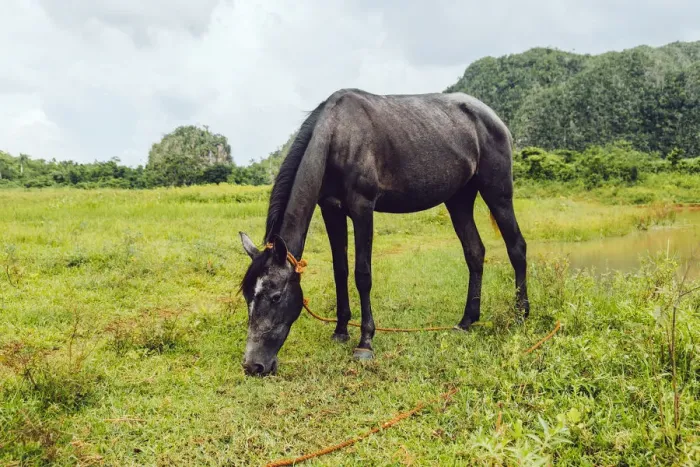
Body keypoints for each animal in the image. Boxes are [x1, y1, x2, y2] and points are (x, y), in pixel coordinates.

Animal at [238, 88, 529, 376]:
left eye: (276, 297)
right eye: (246, 295)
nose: (254, 365)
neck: (337, 135)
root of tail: (493, 118)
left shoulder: (362, 209)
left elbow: (362, 274)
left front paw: (365, 341)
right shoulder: (331, 210)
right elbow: (340, 271)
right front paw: (341, 330)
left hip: (498, 193)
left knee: (516, 248)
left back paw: (521, 315)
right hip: (459, 200)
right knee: (474, 252)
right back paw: (467, 320)